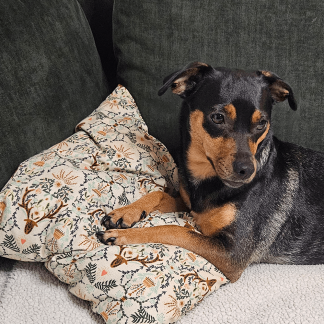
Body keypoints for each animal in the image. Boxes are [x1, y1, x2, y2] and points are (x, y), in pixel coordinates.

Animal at [96, 62, 324, 280]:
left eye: (262, 123)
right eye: (217, 117)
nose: (247, 170)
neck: (207, 179)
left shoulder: (232, 254)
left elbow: (176, 230)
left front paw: (121, 235)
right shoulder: (189, 205)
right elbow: (159, 193)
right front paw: (125, 213)